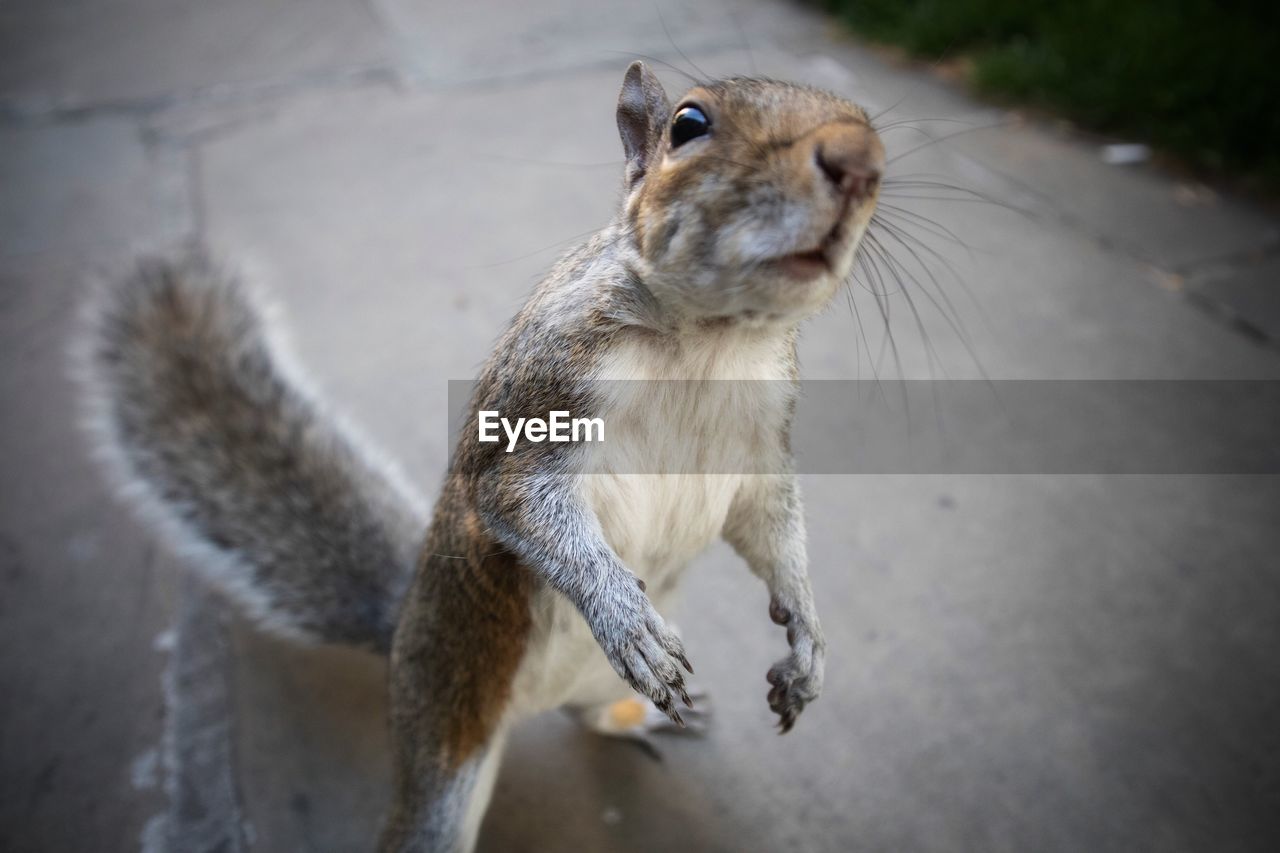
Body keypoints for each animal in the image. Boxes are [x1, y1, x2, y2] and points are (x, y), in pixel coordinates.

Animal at [80, 63, 880, 845]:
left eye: (868, 121)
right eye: (689, 124)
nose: (858, 161)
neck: (711, 342)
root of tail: (401, 634)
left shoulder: (759, 449)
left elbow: (772, 529)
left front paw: (807, 640)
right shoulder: (542, 396)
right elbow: (518, 500)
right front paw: (626, 617)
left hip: (585, 684)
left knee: (588, 712)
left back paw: (641, 714)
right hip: (445, 730)